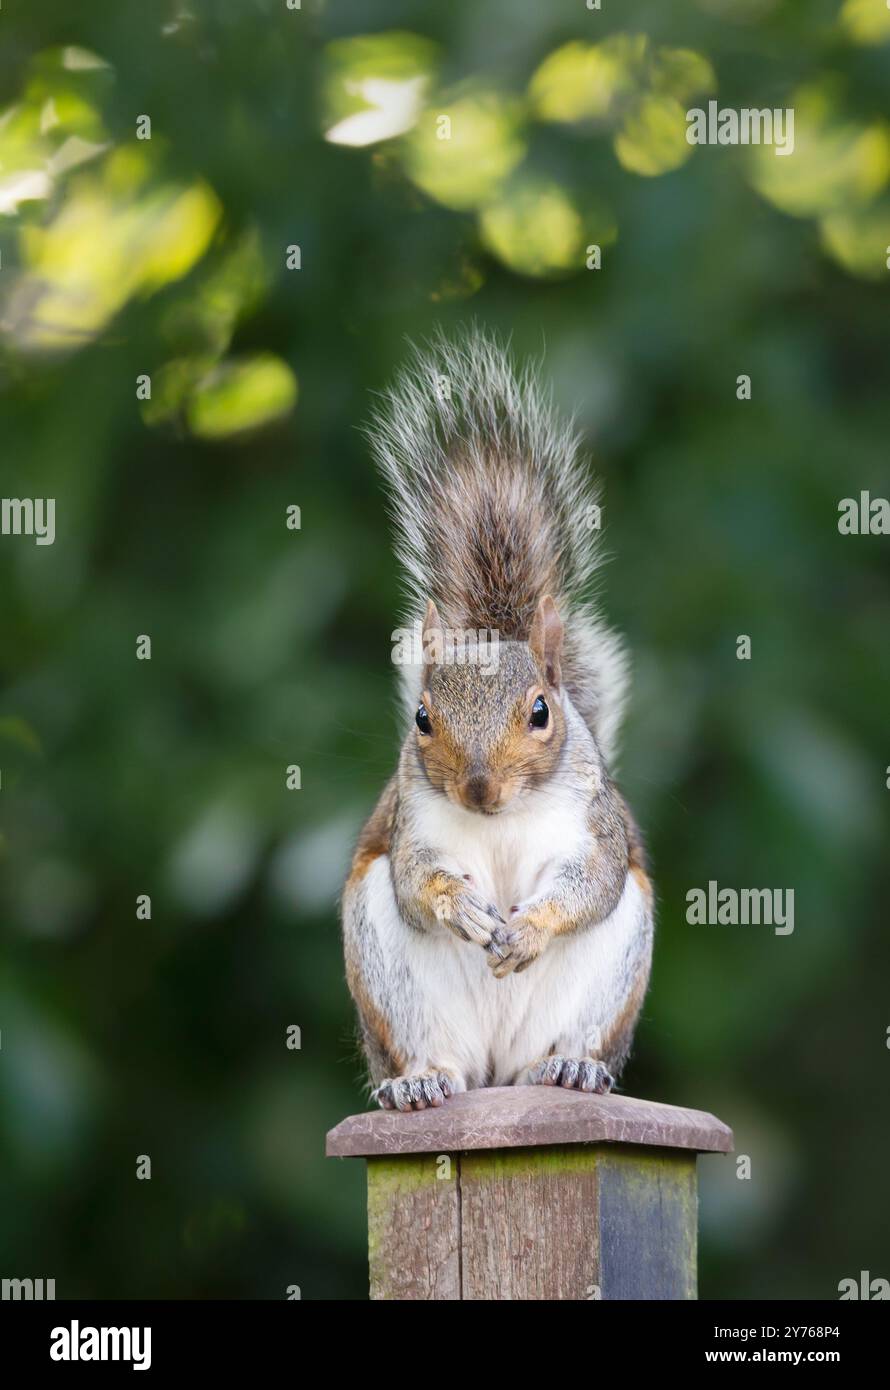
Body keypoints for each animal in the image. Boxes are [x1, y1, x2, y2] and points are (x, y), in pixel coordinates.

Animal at [340, 325, 653, 1106]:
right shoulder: (413, 826)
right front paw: (459, 906)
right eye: (422, 719)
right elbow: (416, 883)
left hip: (609, 982)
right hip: (392, 990)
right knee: (433, 1055)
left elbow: (589, 884)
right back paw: (419, 1082)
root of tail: (497, 1068)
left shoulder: (592, 829)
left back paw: (570, 1067)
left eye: (541, 711)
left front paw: (530, 927)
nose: (479, 787)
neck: (501, 820)